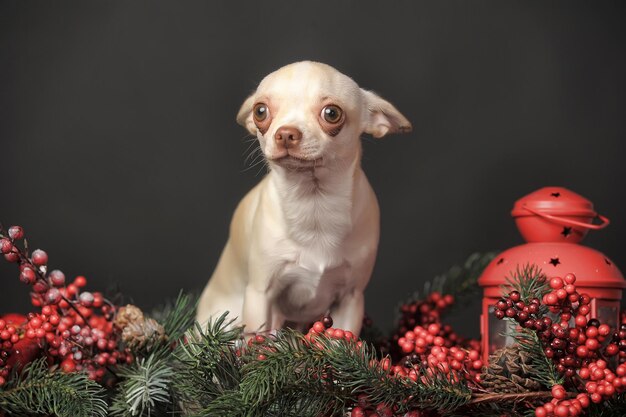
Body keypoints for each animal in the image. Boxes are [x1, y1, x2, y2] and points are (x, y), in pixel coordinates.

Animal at [196, 61, 410, 334]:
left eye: (331, 113)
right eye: (260, 111)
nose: (286, 133)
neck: (313, 202)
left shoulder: (351, 299)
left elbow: (344, 337)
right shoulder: (259, 295)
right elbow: (257, 341)